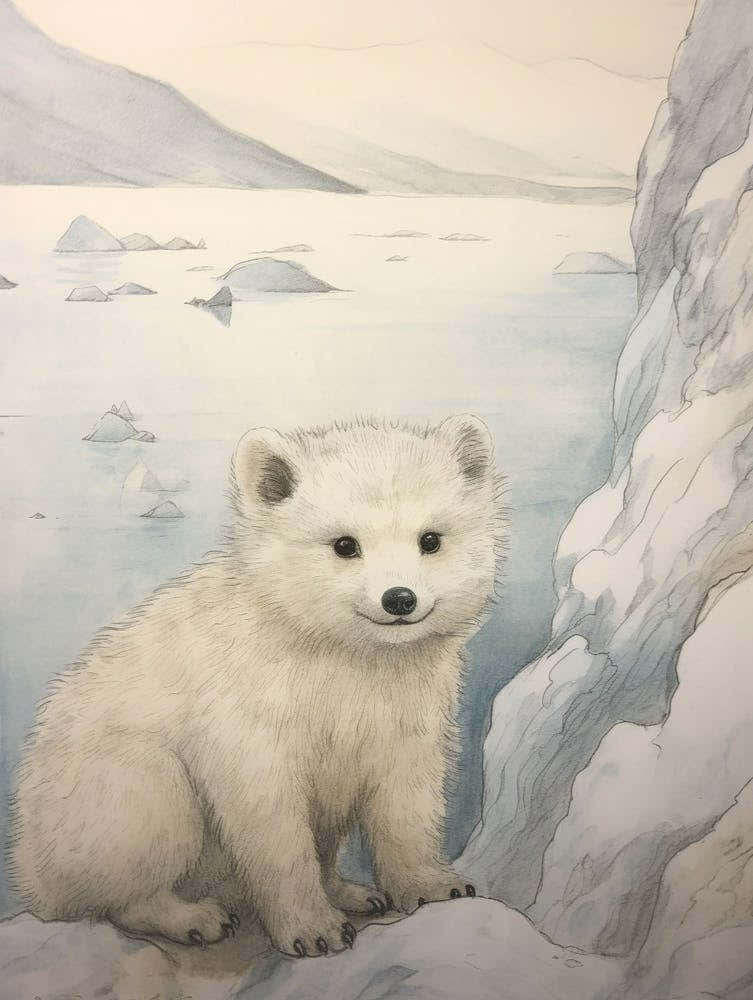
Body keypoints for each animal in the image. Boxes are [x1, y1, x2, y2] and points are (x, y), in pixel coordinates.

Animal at [9, 414, 503, 958]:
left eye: (430, 538)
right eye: (344, 544)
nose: (399, 598)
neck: (343, 655)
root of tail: (29, 871)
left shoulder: (406, 705)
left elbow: (406, 795)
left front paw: (436, 885)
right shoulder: (249, 710)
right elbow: (271, 818)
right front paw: (314, 930)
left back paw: (352, 892)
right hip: (107, 790)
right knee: (146, 832)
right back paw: (195, 917)